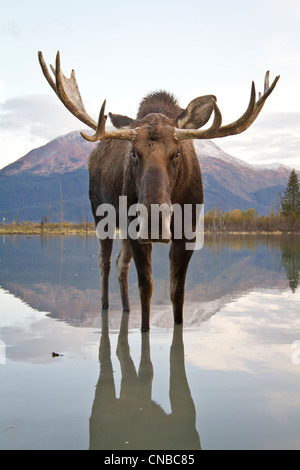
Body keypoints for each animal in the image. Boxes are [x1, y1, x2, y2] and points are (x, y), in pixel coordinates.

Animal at [38, 51, 280, 330]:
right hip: (101, 214)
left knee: (121, 264)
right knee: (104, 262)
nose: (153, 221)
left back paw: (126, 308)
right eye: (134, 153)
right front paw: (144, 328)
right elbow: (147, 288)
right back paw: (106, 306)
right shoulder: (135, 230)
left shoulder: (187, 232)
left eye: (176, 153)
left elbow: (177, 293)